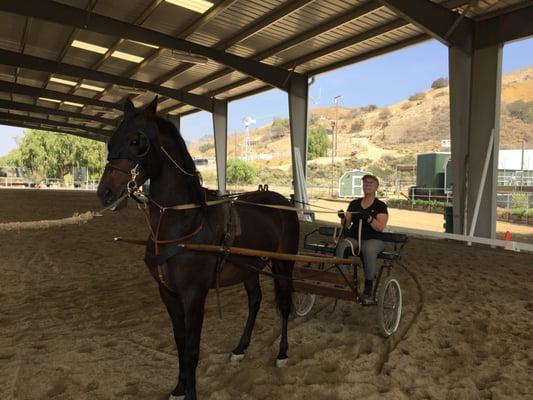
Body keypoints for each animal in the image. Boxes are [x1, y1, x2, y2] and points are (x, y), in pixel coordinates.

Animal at [96, 97, 300, 400]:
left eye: (136, 141)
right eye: (111, 141)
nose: (105, 193)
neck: (184, 221)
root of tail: (283, 201)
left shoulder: (194, 295)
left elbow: (192, 350)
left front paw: (190, 393)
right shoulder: (168, 294)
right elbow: (180, 344)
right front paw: (179, 388)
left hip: (283, 265)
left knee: (284, 305)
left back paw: (283, 353)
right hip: (249, 269)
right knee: (255, 301)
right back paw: (240, 348)